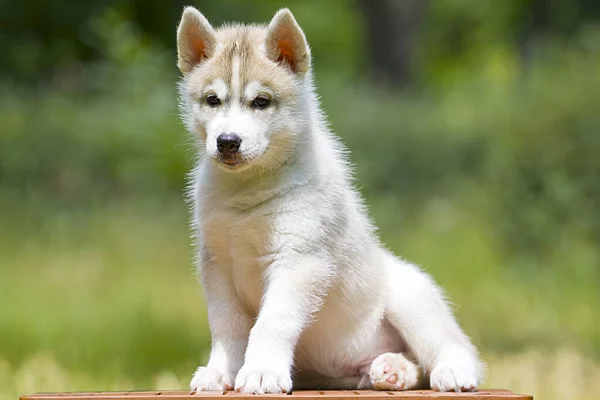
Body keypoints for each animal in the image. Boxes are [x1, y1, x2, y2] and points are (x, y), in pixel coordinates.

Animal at [175, 6, 482, 394]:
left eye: (261, 102)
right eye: (213, 100)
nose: (227, 142)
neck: (247, 190)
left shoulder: (299, 261)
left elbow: (272, 322)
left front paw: (261, 371)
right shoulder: (217, 265)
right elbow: (226, 326)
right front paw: (220, 372)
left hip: (411, 296)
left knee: (451, 347)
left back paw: (453, 371)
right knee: (412, 366)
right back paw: (393, 369)